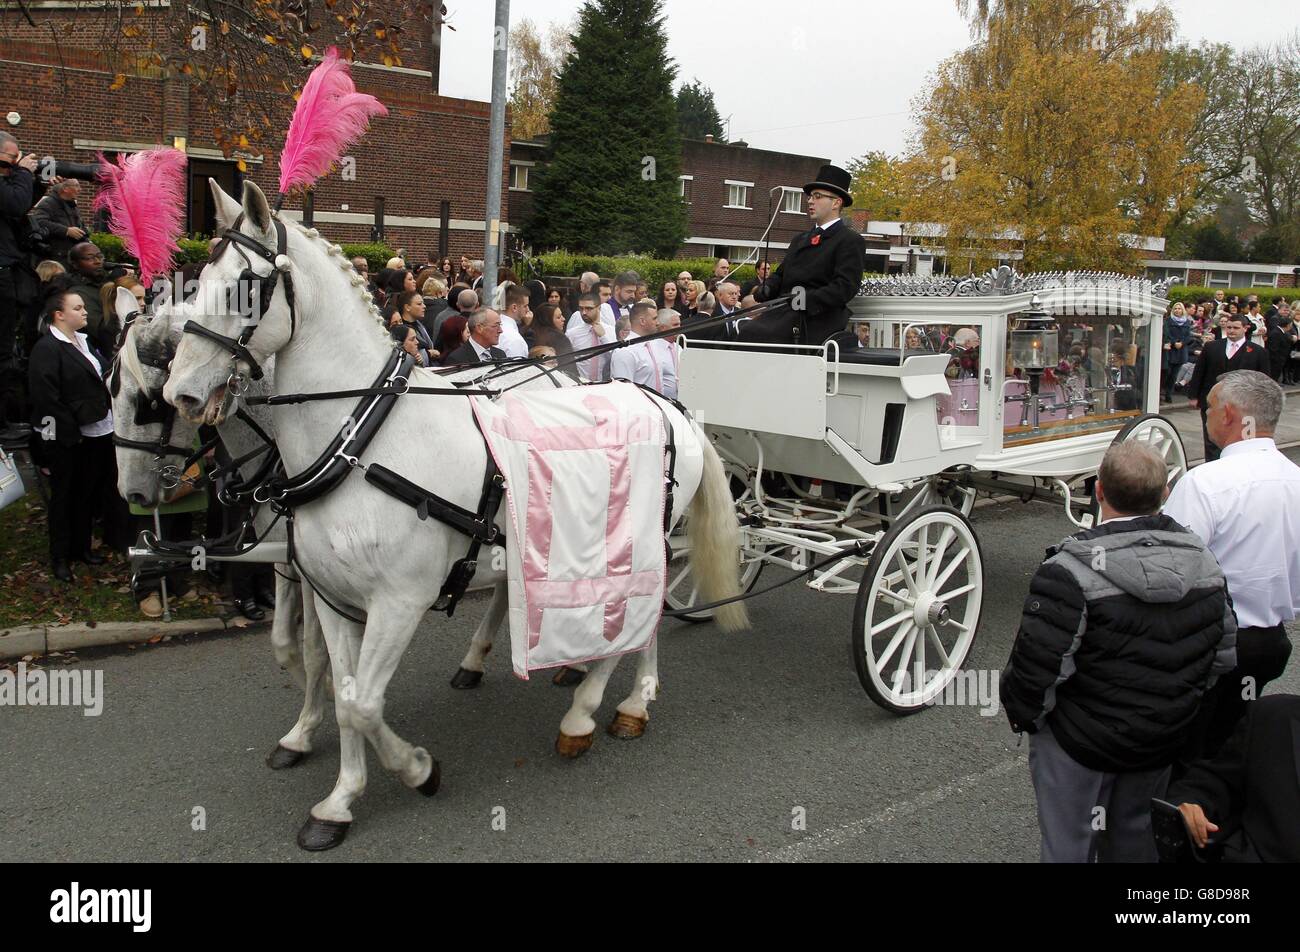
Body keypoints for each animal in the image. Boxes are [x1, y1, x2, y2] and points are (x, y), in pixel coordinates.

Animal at [167, 182, 748, 853]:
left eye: (243, 284)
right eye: (196, 280)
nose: (180, 392)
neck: (361, 441)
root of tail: (666, 404)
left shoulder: (399, 601)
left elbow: (364, 704)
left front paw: (418, 769)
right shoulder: (334, 597)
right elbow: (343, 692)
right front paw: (338, 800)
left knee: (636, 618)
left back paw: (593, 710)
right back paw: (622, 696)